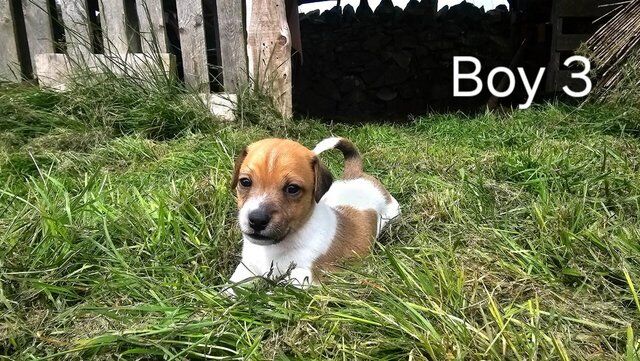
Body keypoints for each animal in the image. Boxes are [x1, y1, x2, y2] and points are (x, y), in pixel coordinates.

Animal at [228, 136, 400, 288]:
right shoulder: (247, 267)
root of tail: (356, 174)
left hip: (393, 213)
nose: (257, 220)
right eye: (245, 182)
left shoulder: (305, 276)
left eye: (292, 189)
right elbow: (232, 286)